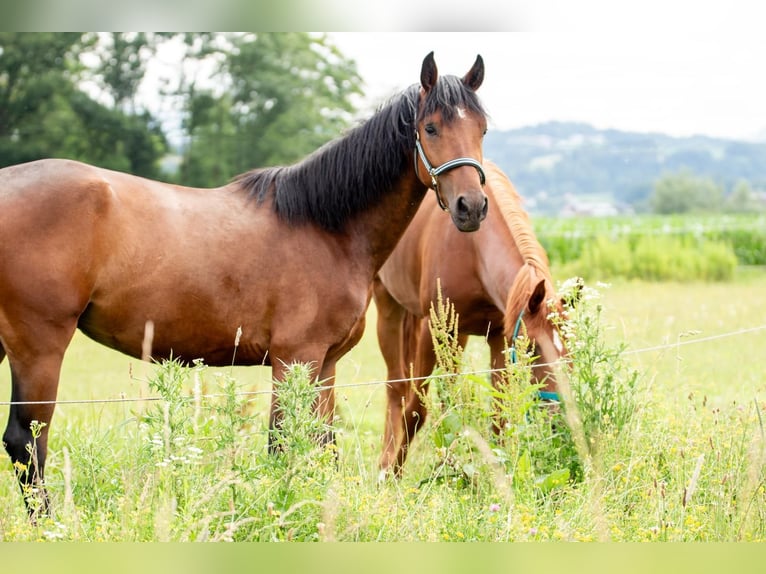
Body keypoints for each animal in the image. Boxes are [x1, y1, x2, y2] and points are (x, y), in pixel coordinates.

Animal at [1, 50, 492, 516]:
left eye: (483, 130)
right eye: (430, 128)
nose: (471, 206)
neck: (326, 227)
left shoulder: (325, 365)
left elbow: (322, 445)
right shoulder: (294, 360)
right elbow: (282, 443)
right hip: (40, 347)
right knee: (26, 441)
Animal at [376, 161, 568, 476]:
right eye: (532, 349)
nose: (561, 419)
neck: (472, 249)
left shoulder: (499, 336)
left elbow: (498, 415)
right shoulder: (434, 331)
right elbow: (415, 410)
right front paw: (394, 473)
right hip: (388, 307)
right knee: (397, 388)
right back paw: (385, 464)